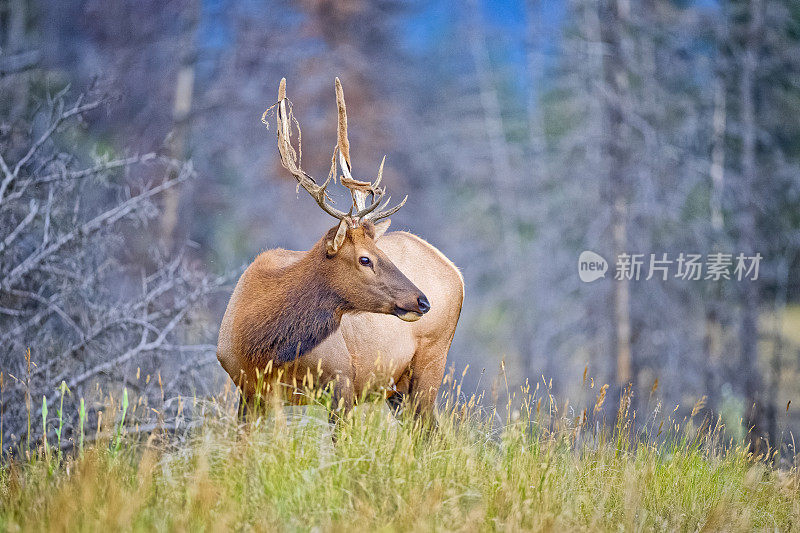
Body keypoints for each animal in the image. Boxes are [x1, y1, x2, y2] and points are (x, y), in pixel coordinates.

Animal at [214, 78, 462, 420]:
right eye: (365, 259)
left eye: (381, 253)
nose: (422, 301)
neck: (257, 344)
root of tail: (456, 271)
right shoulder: (248, 389)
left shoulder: (341, 378)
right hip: (397, 389)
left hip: (431, 361)